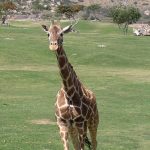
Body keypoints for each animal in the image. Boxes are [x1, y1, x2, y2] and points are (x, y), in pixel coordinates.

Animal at [41, 20, 99, 149]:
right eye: (48, 34)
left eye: (61, 34)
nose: (53, 45)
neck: (69, 94)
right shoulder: (62, 123)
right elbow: (68, 147)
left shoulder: (80, 122)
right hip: (73, 127)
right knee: (77, 144)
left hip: (93, 121)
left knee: (94, 143)